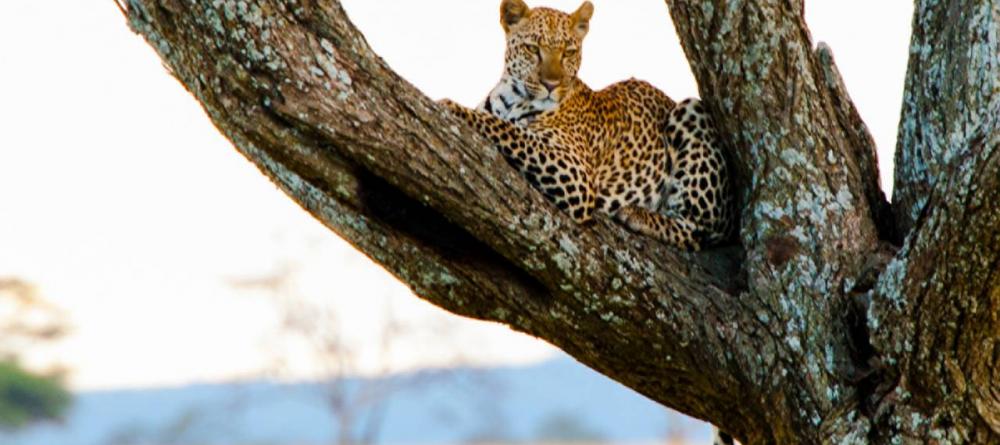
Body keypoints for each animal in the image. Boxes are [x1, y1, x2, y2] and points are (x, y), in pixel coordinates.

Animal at [442, 0, 740, 251]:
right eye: (533, 49)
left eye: (569, 52)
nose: (551, 84)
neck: (512, 97)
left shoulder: (574, 173)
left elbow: (508, 129)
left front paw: (452, 106)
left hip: (692, 110)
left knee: (697, 232)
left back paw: (637, 214)